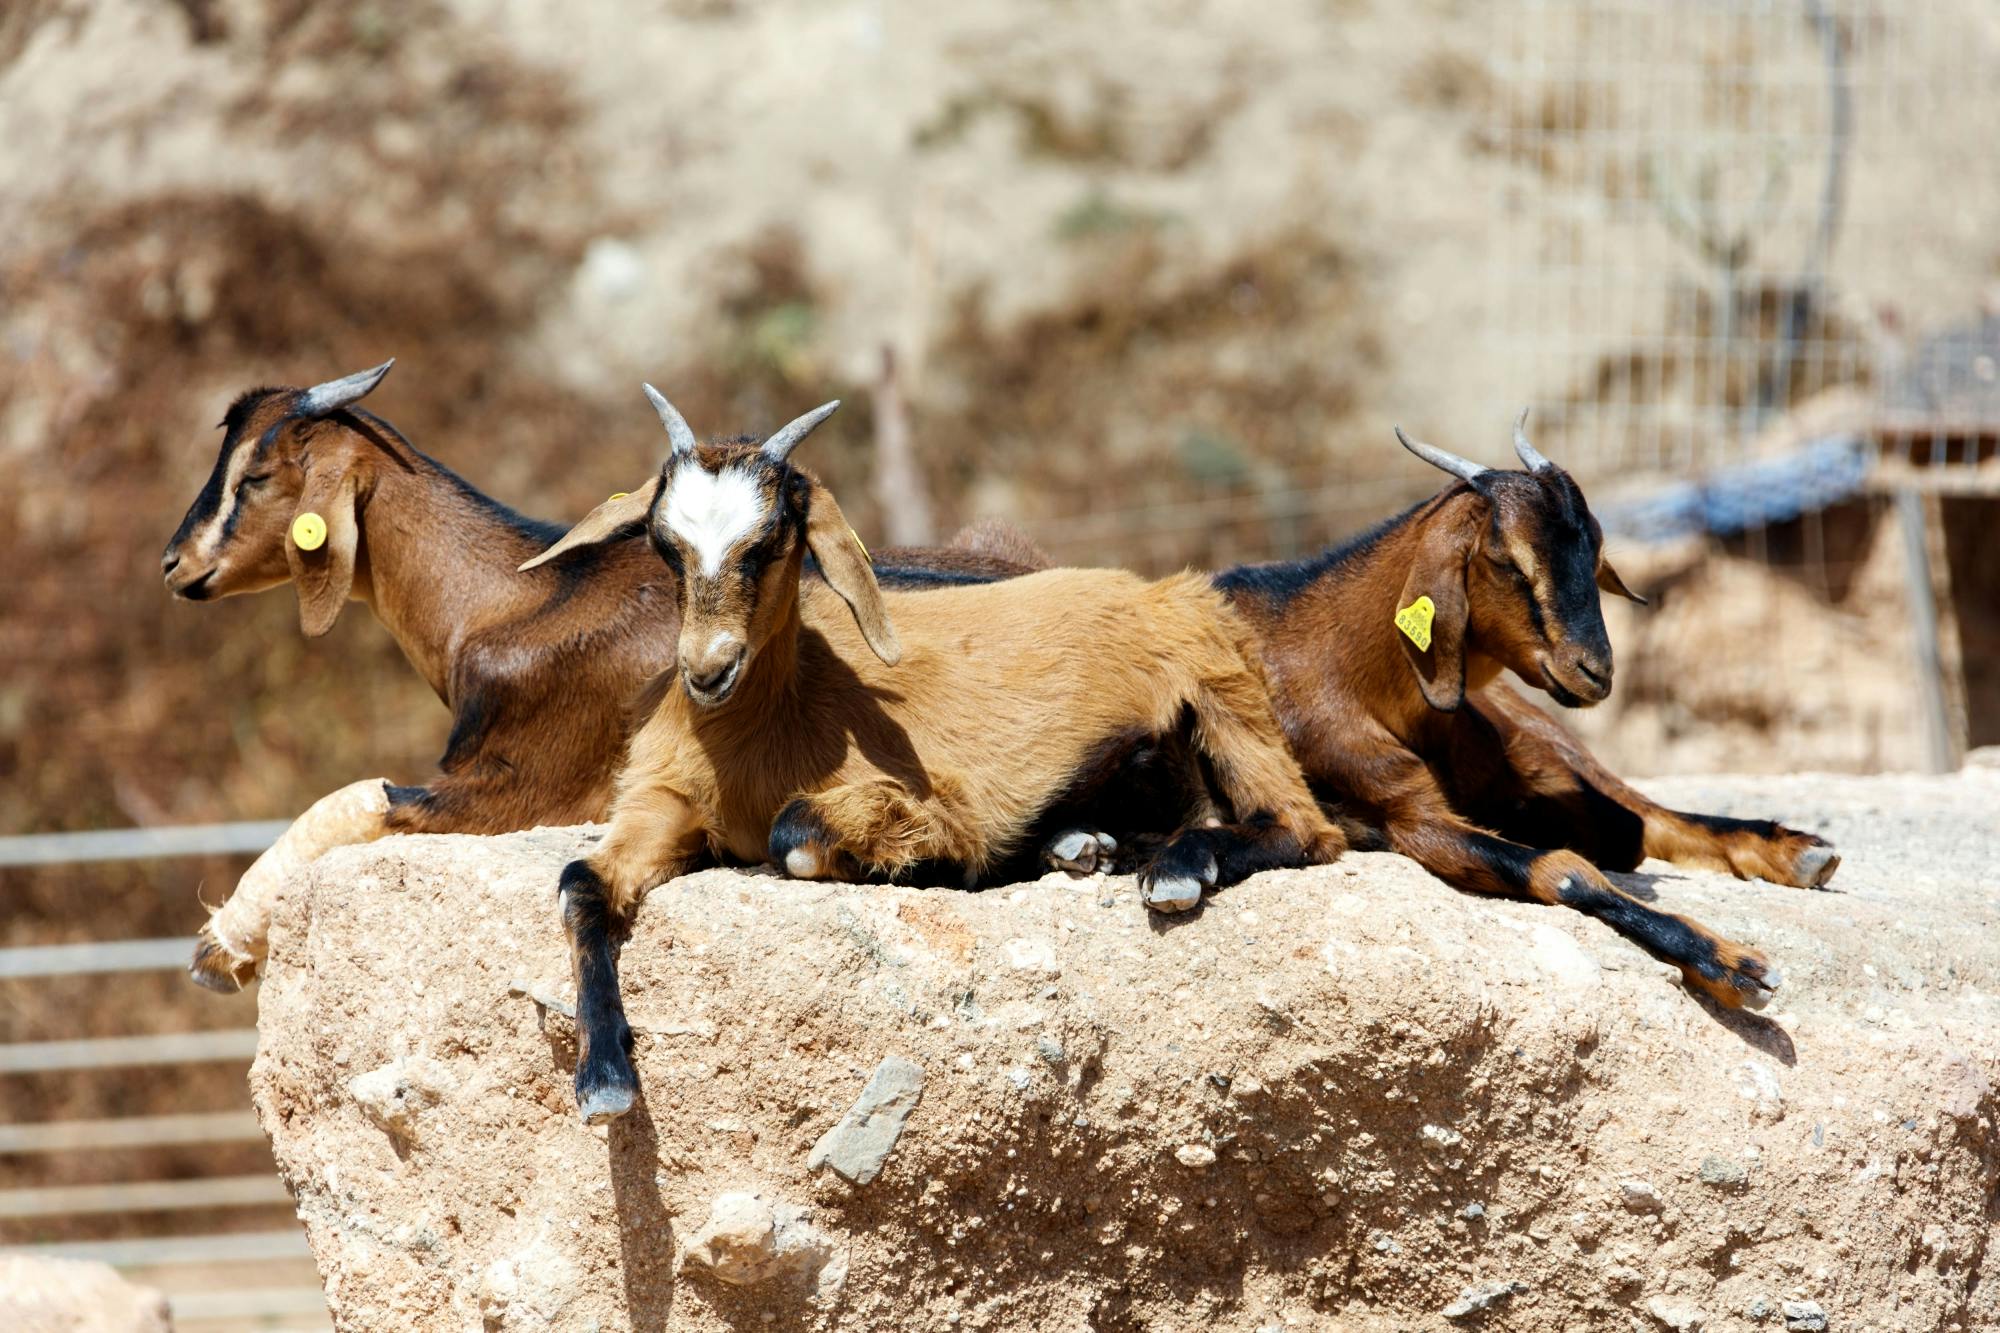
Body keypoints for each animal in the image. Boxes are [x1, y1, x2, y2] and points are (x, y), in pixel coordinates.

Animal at [164, 358, 1040, 980]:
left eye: (255, 477)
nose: (175, 564)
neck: (511, 595)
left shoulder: (514, 786)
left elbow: (358, 795)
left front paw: (221, 943)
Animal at [532, 386, 1344, 1120]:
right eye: (663, 544)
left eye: (768, 542)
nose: (706, 670)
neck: (771, 720)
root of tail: (1155, 590)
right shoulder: (661, 804)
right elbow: (579, 880)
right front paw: (603, 1076)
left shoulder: (937, 801)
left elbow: (796, 836)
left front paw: (934, 866)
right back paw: (1080, 844)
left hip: (1222, 693)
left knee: (1306, 828)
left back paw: (1174, 866)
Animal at [1200, 410, 1840, 1000]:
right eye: (1506, 560)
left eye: (1596, 553)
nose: (1595, 671)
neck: (1331, 663)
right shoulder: (1415, 820)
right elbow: (1566, 870)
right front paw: (1733, 963)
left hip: (1550, 744)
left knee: (1641, 811)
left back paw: (1800, 850)